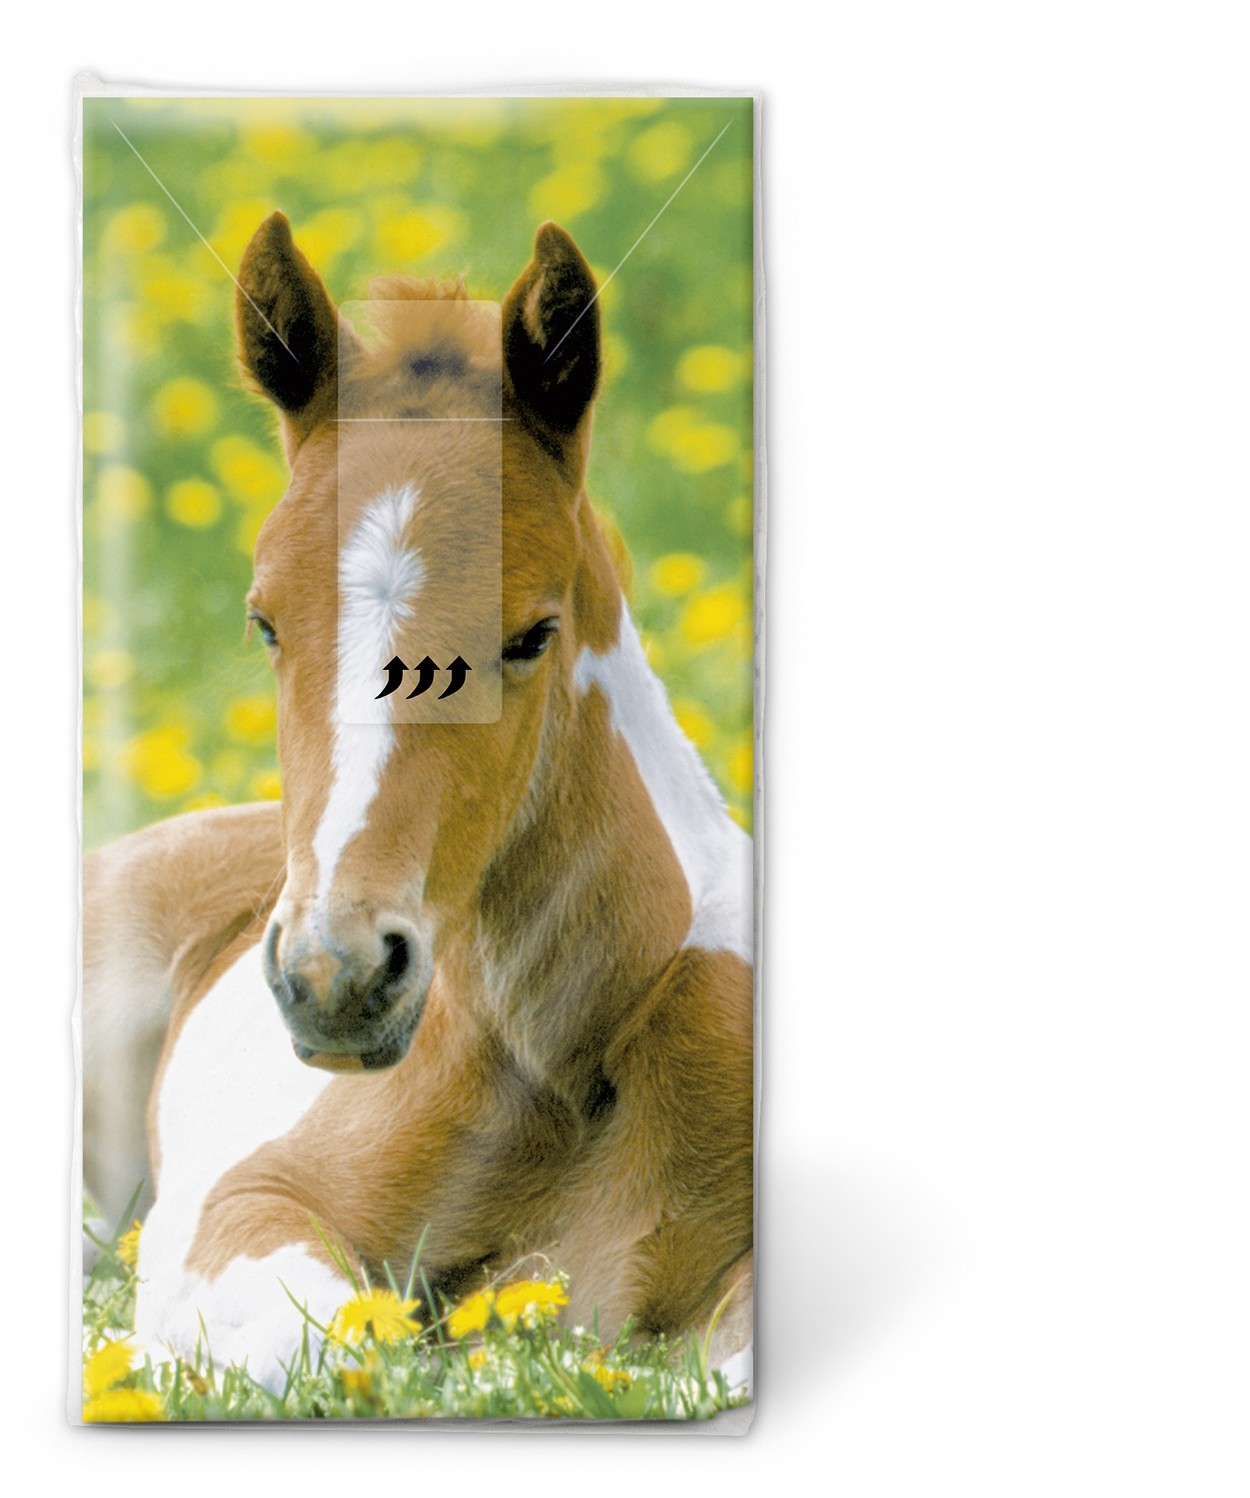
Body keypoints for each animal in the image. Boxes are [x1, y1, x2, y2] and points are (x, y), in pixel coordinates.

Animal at [82, 212, 755, 1392]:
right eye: (265, 621)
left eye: (530, 634)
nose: (335, 980)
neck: (562, 1065)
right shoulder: (246, 1201)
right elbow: (330, 1343)